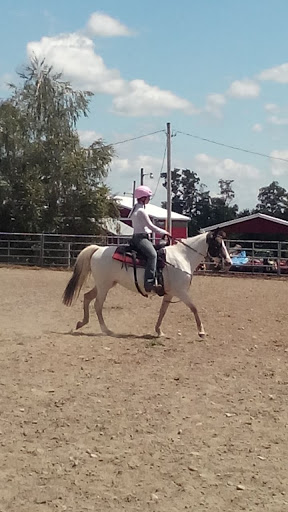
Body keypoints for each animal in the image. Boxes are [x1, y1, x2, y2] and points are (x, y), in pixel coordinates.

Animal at [63, 230, 232, 338]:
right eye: (217, 245)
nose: (229, 262)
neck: (183, 256)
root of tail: (98, 249)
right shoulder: (181, 292)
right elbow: (194, 308)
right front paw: (201, 331)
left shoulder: (170, 293)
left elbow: (162, 311)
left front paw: (159, 331)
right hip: (104, 286)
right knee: (97, 305)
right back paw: (107, 330)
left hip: (105, 284)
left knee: (87, 297)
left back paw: (81, 323)